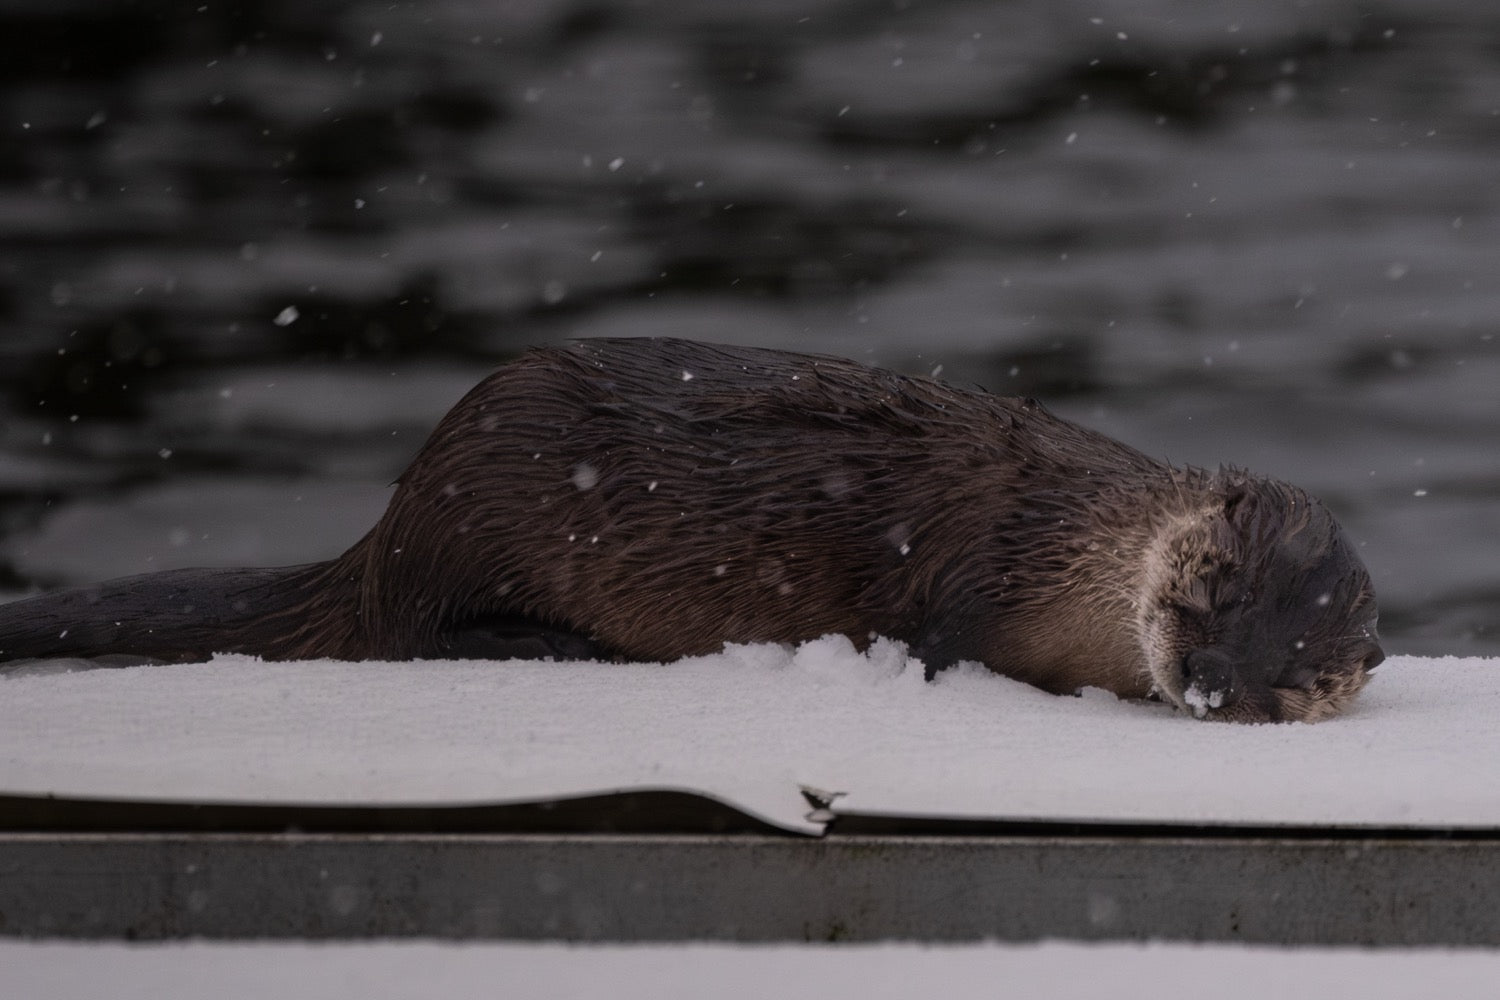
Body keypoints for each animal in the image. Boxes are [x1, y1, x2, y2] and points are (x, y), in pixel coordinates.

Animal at [0, 338, 1382, 722]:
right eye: (1209, 590)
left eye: (1298, 673)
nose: (1212, 675)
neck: (1073, 547)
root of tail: (386, 526)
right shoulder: (976, 564)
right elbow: (935, 638)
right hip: (471, 525)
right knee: (405, 635)